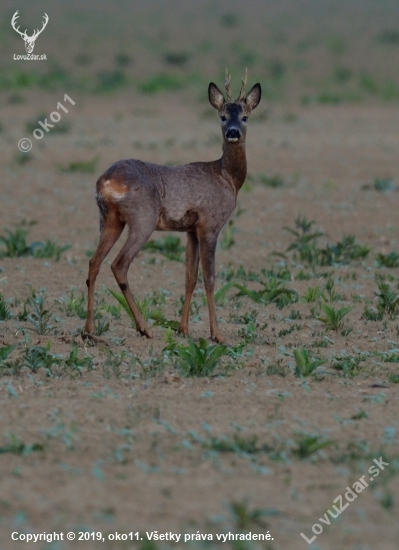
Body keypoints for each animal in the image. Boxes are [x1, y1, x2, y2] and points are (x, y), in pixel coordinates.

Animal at [83, 69, 262, 344]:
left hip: (109, 219)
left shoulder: (191, 230)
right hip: (142, 219)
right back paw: (144, 328)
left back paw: (89, 329)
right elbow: (210, 277)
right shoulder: (210, 225)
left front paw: (183, 329)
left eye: (245, 116)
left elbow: (189, 277)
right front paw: (217, 334)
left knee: (94, 262)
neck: (227, 177)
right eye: (222, 117)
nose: (233, 132)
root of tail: (106, 181)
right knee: (119, 264)